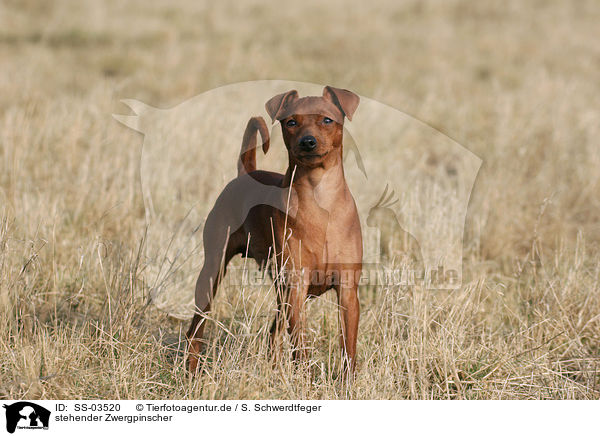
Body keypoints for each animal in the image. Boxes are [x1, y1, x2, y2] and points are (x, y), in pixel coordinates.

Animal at [186, 86, 360, 374]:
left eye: (327, 120)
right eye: (291, 123)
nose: (308, 142)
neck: (320, 199)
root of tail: (246, 173)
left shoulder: (347, 292)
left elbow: (348, 350)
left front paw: (348, 382)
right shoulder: (297, 289)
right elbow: (301, 348)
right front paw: (306, 380)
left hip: (280, 294)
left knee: (272, 333)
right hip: (212, 275)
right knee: (195, 330)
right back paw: (191, 372)